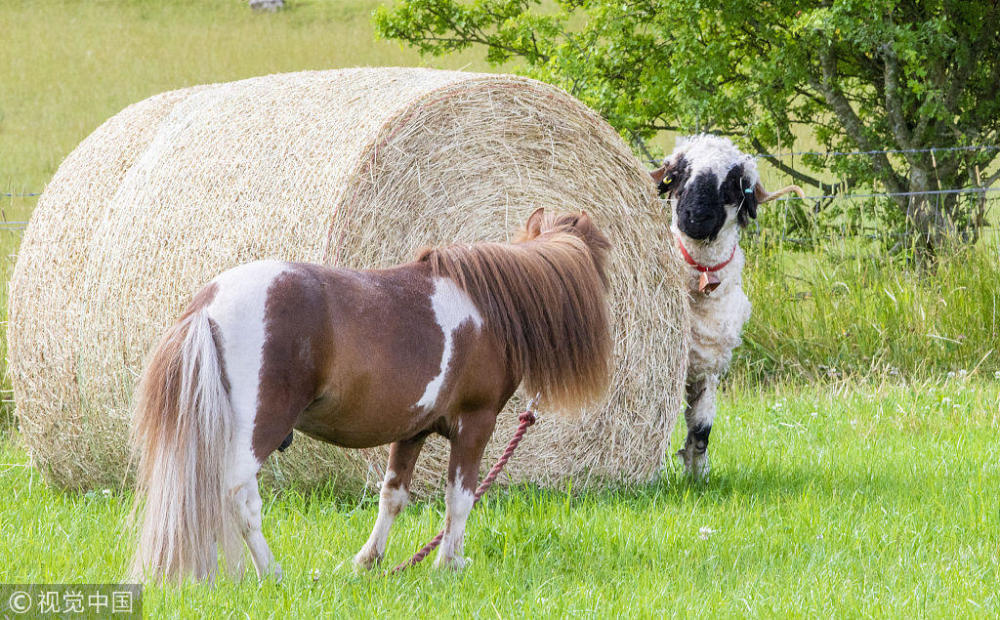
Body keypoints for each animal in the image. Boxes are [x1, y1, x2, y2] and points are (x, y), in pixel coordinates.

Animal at [129, 208, 612, 580]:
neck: (488, 311)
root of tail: (209, 304)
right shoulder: (476, 423)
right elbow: (460, 499)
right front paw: (448, 565)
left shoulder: (413, 430)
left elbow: (392, 495)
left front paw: (369, 562)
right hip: (257, 431)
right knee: (237, 497)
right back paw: (273, 574)